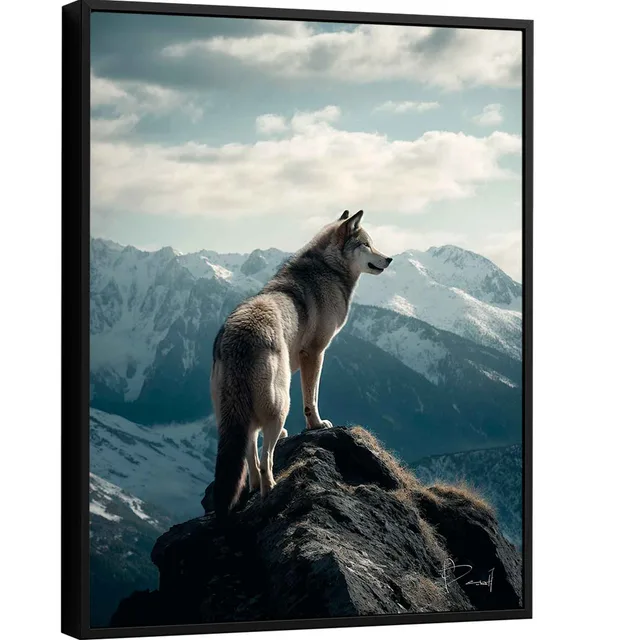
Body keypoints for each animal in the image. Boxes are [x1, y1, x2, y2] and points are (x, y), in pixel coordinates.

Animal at [210, 210, 392, 518]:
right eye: (367, 244)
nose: (389, 259)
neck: (329, 269)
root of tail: (239, 338)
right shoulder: (316, 353)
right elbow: (312, 398)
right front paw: (317, 425)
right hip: (281, 402)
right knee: (265, 457)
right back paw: (270, 488)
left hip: (232, 415)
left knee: (250, 451)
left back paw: (256, 484)